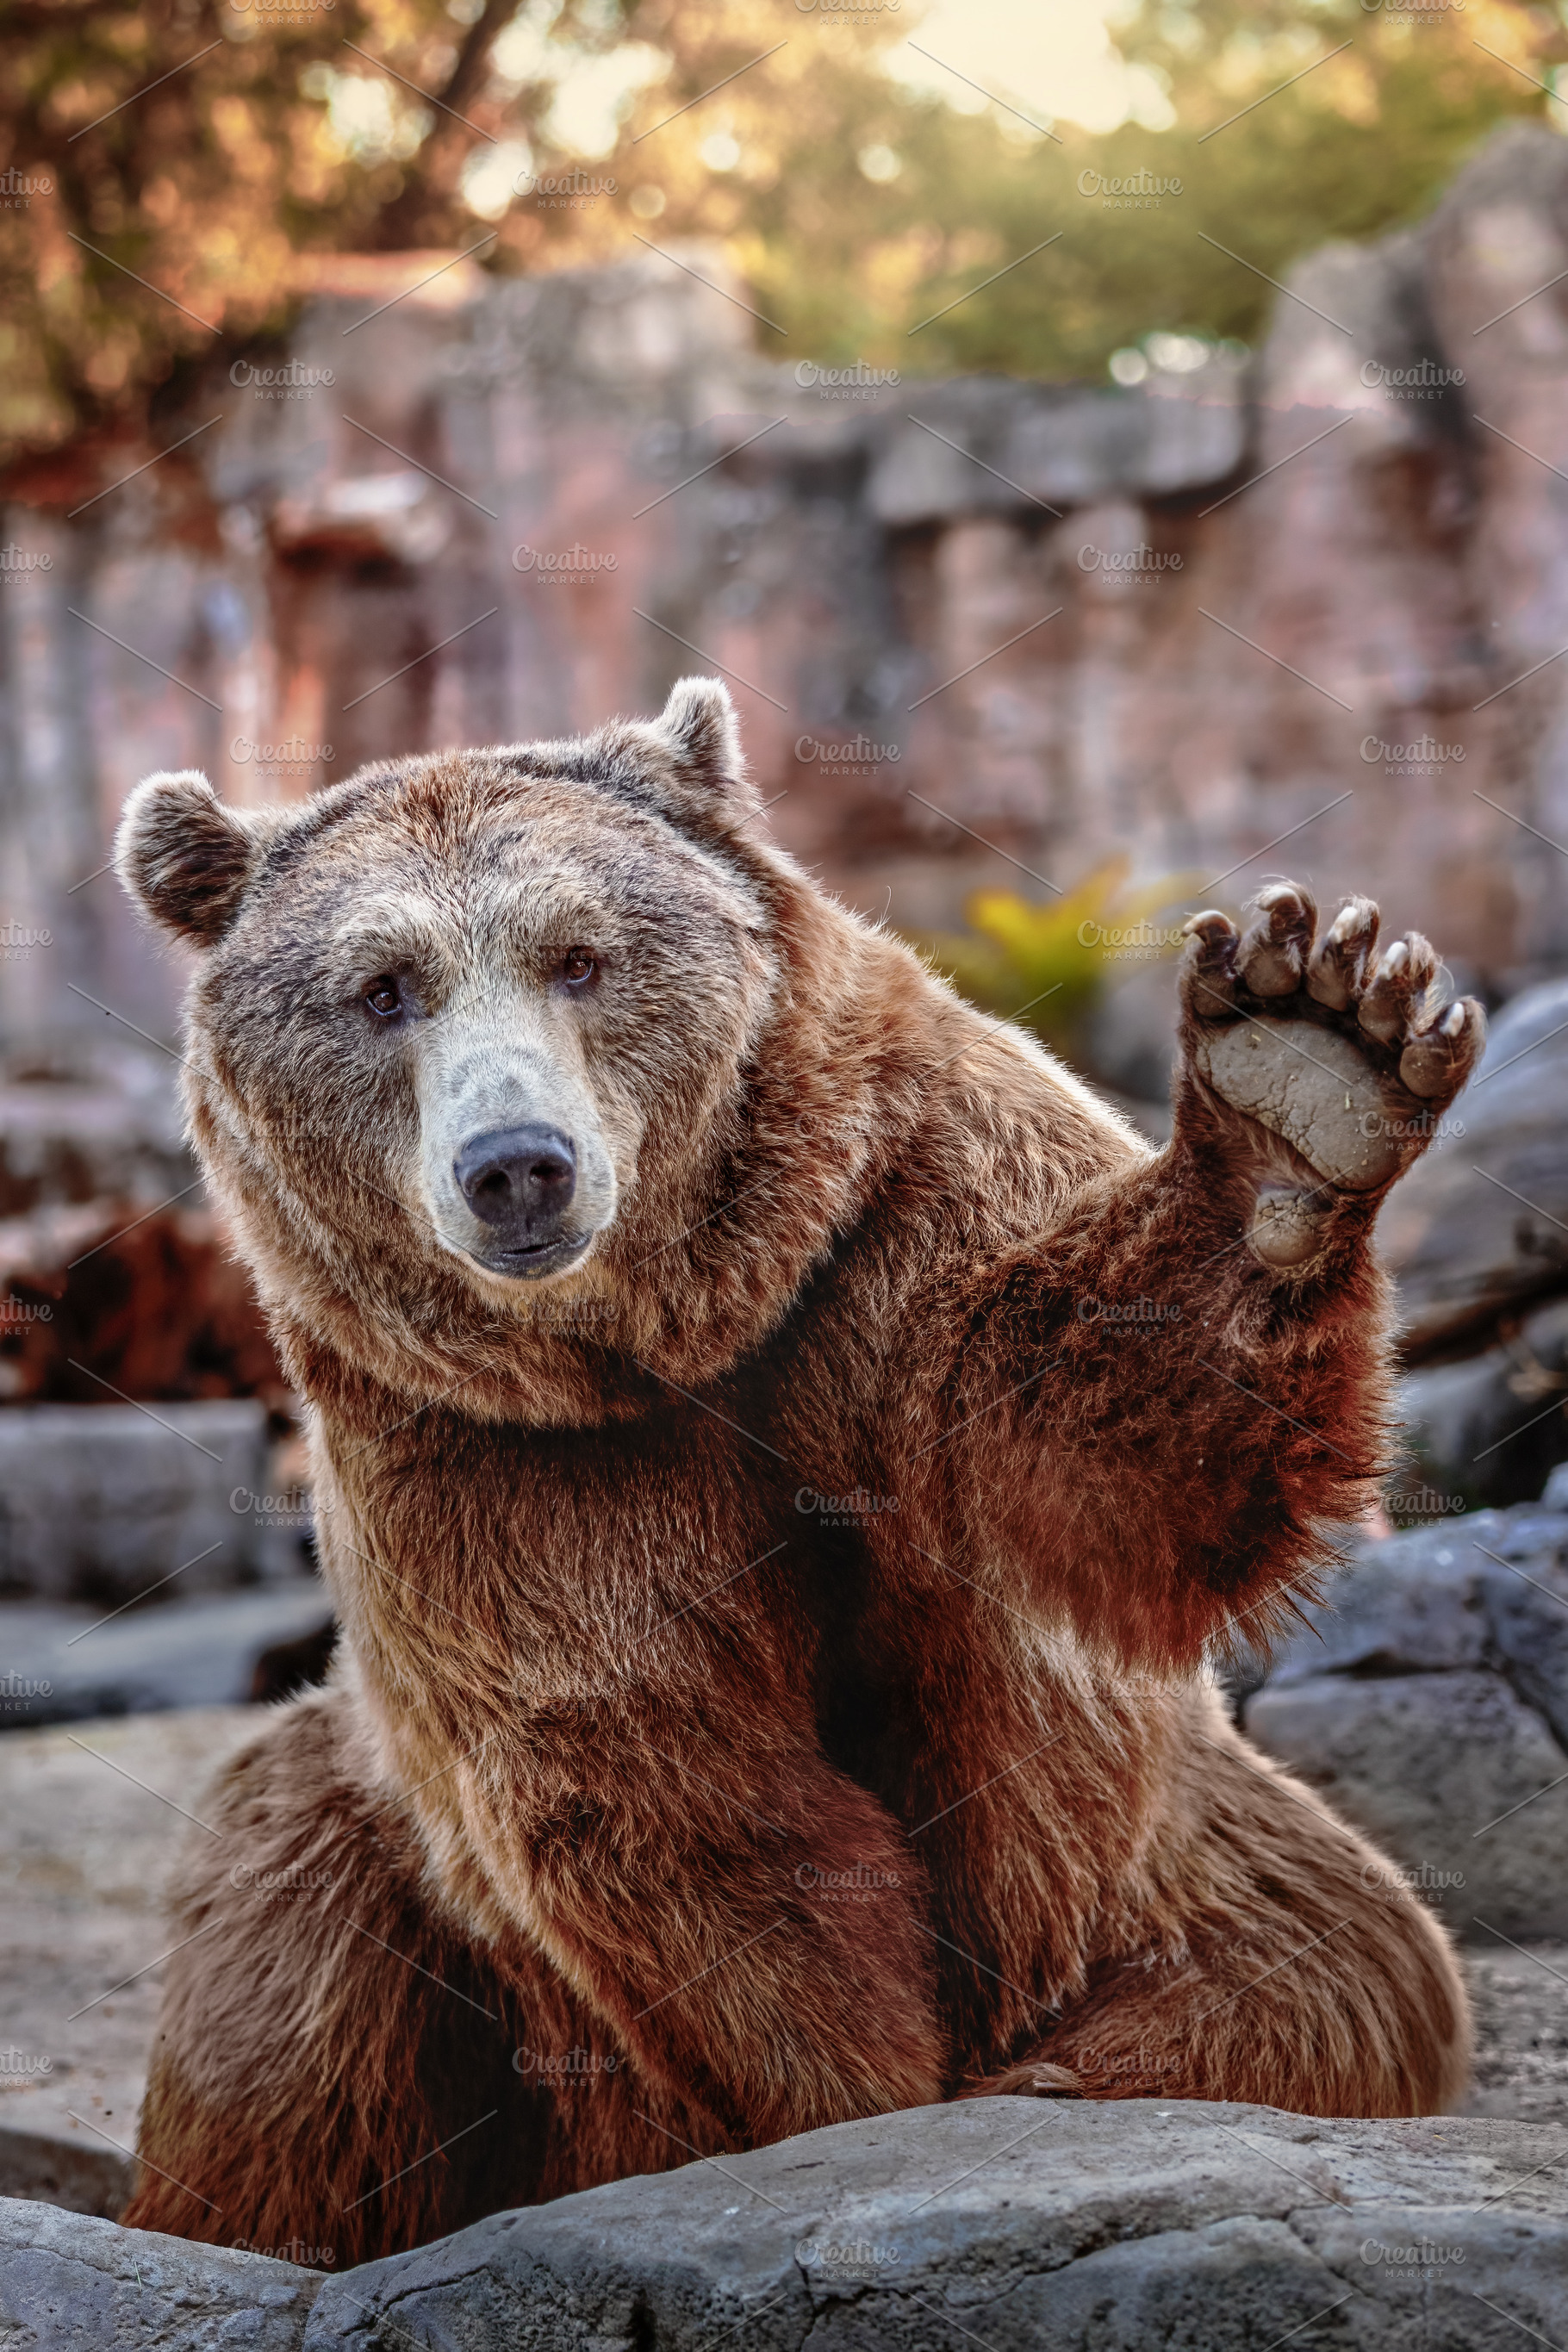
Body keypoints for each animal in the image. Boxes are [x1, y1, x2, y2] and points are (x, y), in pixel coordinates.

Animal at [112, 678, 1483, 2264]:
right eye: (384, 987)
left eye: (579, 954)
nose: (517, 1165)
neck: (677, 1327)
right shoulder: (488, 1452)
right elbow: (663, 1756)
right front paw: (854, 2103)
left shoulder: (896, 1214)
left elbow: (1100, 1460)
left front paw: (1306, 1065)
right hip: (358, 1852)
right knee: (286, 2036)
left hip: (1209, 1863)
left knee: (1345, 1970)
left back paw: (1077, 2068)